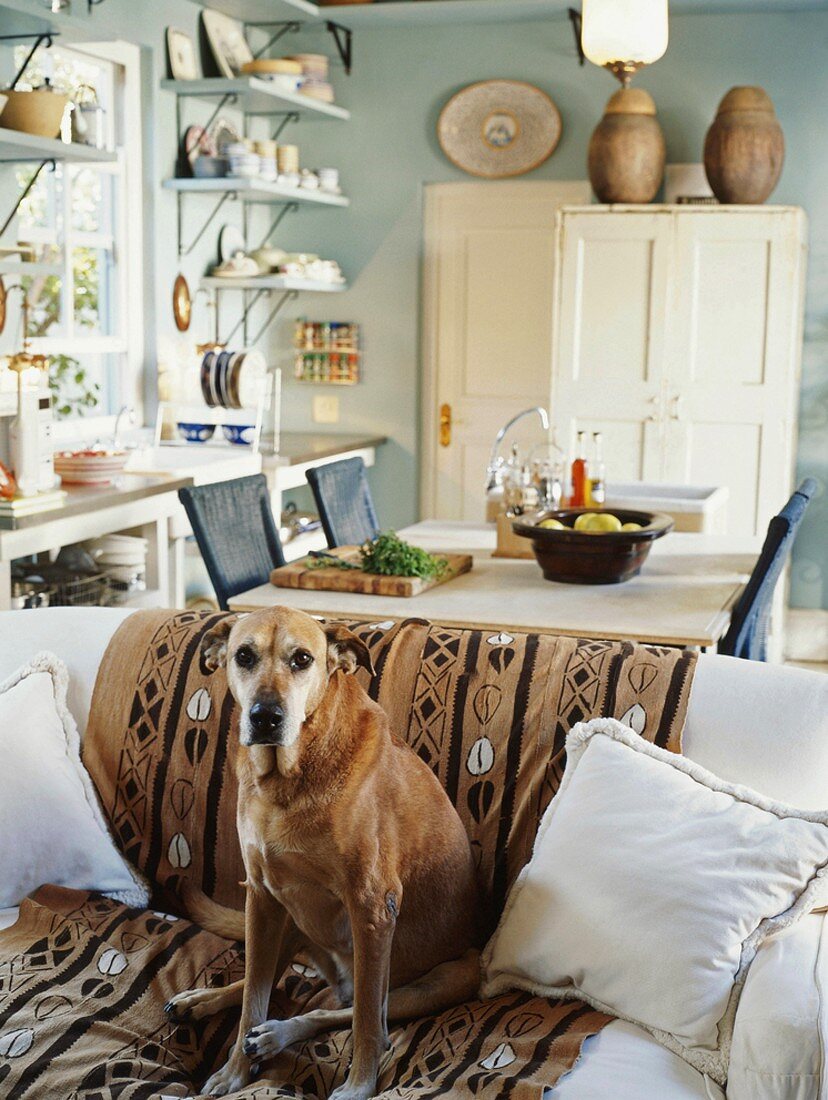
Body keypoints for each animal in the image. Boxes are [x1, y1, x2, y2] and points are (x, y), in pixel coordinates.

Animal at [162, 607, 477, 1095]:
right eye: (244, 655)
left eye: (302, 659)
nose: (266, 717)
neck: (286, 780)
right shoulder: (261, 896)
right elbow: (253, 996)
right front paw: (234, 1072)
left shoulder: (372, 909)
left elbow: (366, 1019)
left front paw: (361, 1086)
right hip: (288, 917)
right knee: (266, 981)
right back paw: (205, 1001)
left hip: (447, 978)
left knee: (338, 1009)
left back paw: (277, 1034)